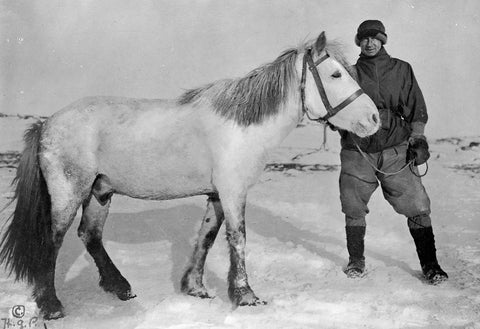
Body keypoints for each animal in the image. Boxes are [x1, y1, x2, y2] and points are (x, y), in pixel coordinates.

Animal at [0, 32, 378, 320]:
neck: (243, 127)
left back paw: (120, 287)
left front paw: (195, 288)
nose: (374, 119)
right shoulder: (233, 191)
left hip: (100, 191)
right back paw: (52, 305)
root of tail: (46, 123)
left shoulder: (217, 194)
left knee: (90, 235)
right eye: (335, 75)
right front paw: (245, 295)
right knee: (54, 240)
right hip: (69, 192)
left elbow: (207, 238)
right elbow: (237, 239)